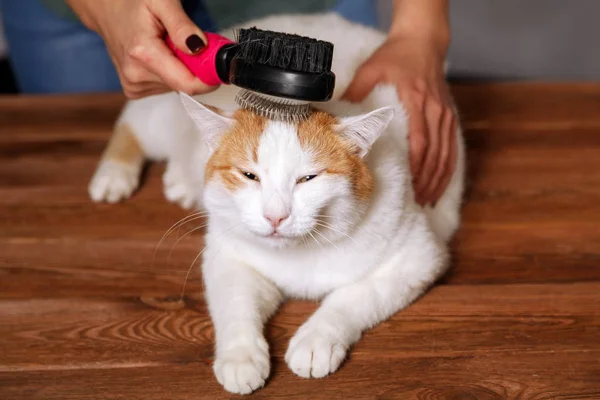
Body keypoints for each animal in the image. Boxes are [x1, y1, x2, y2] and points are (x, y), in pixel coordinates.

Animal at [89, 11, 466, 394]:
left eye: (308, 179)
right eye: (249, 176)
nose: (275, 217)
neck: (298, 255)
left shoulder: (417, 258)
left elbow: (353, 296)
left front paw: (316, 339)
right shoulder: (228, 257)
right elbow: (235, 304)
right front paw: (240, 356)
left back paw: (177, 178)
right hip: (161, 121)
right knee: (131, 123)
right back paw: (115, 173)